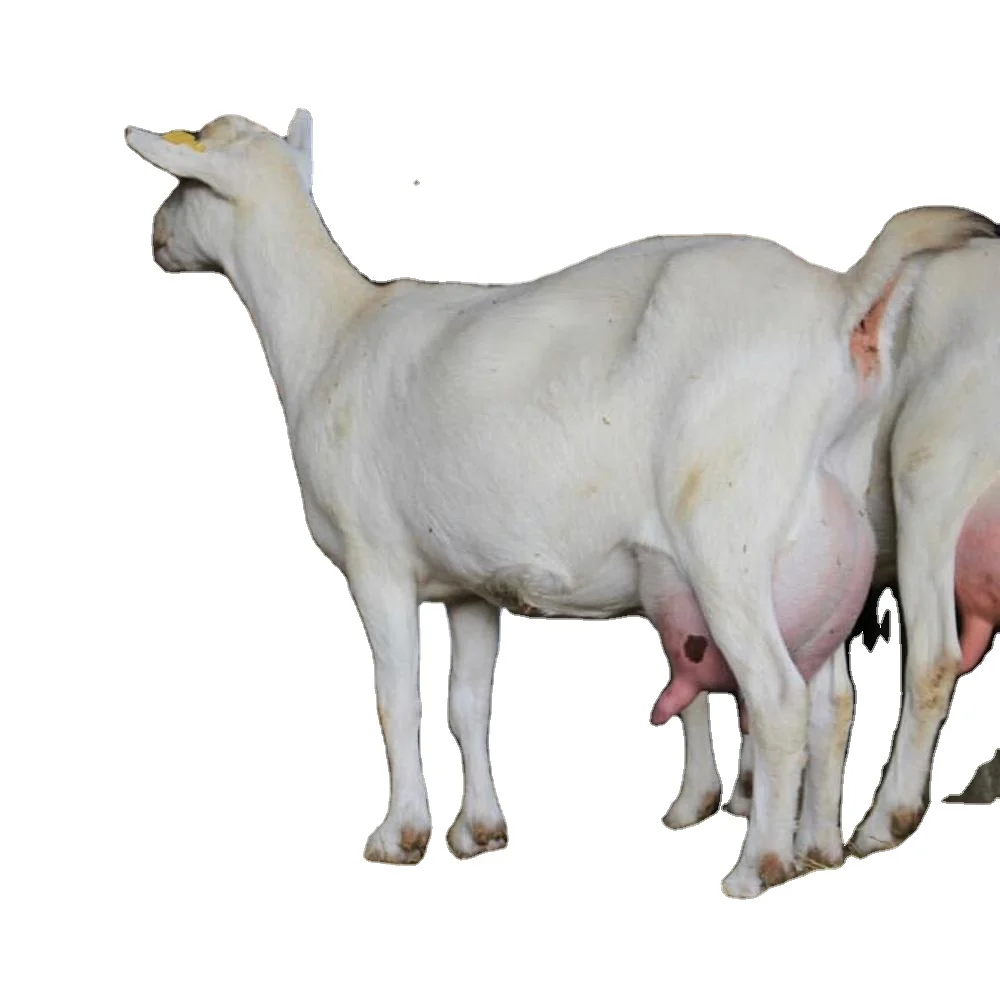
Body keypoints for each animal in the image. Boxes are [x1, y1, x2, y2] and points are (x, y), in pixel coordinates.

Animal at [125, 108, 997, 897]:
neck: (334, 329)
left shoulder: (377, 561)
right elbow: (466, 704)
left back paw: (762, 866)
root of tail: (844, 299)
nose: (156, 239)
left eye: (185, 182)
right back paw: (818, 849)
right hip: (826, 544)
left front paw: (399, 835)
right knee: (829, 699)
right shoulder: (468, 584)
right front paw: (479, 831)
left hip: (741, 532)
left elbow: (396, 699)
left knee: (789, 694)